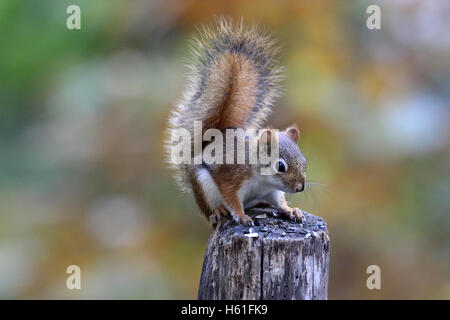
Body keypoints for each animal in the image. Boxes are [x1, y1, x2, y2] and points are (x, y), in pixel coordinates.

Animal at [167, 17, 308, 228]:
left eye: (304, 161)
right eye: (281, 166)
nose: (300, 187)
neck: (262, 179)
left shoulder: (272, 190)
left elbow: (279, 201)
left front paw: (290, 210)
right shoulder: (231, 176)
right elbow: (231, 198)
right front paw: (241, 216)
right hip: (203, 186)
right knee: (210, 210)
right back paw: (218, 211)